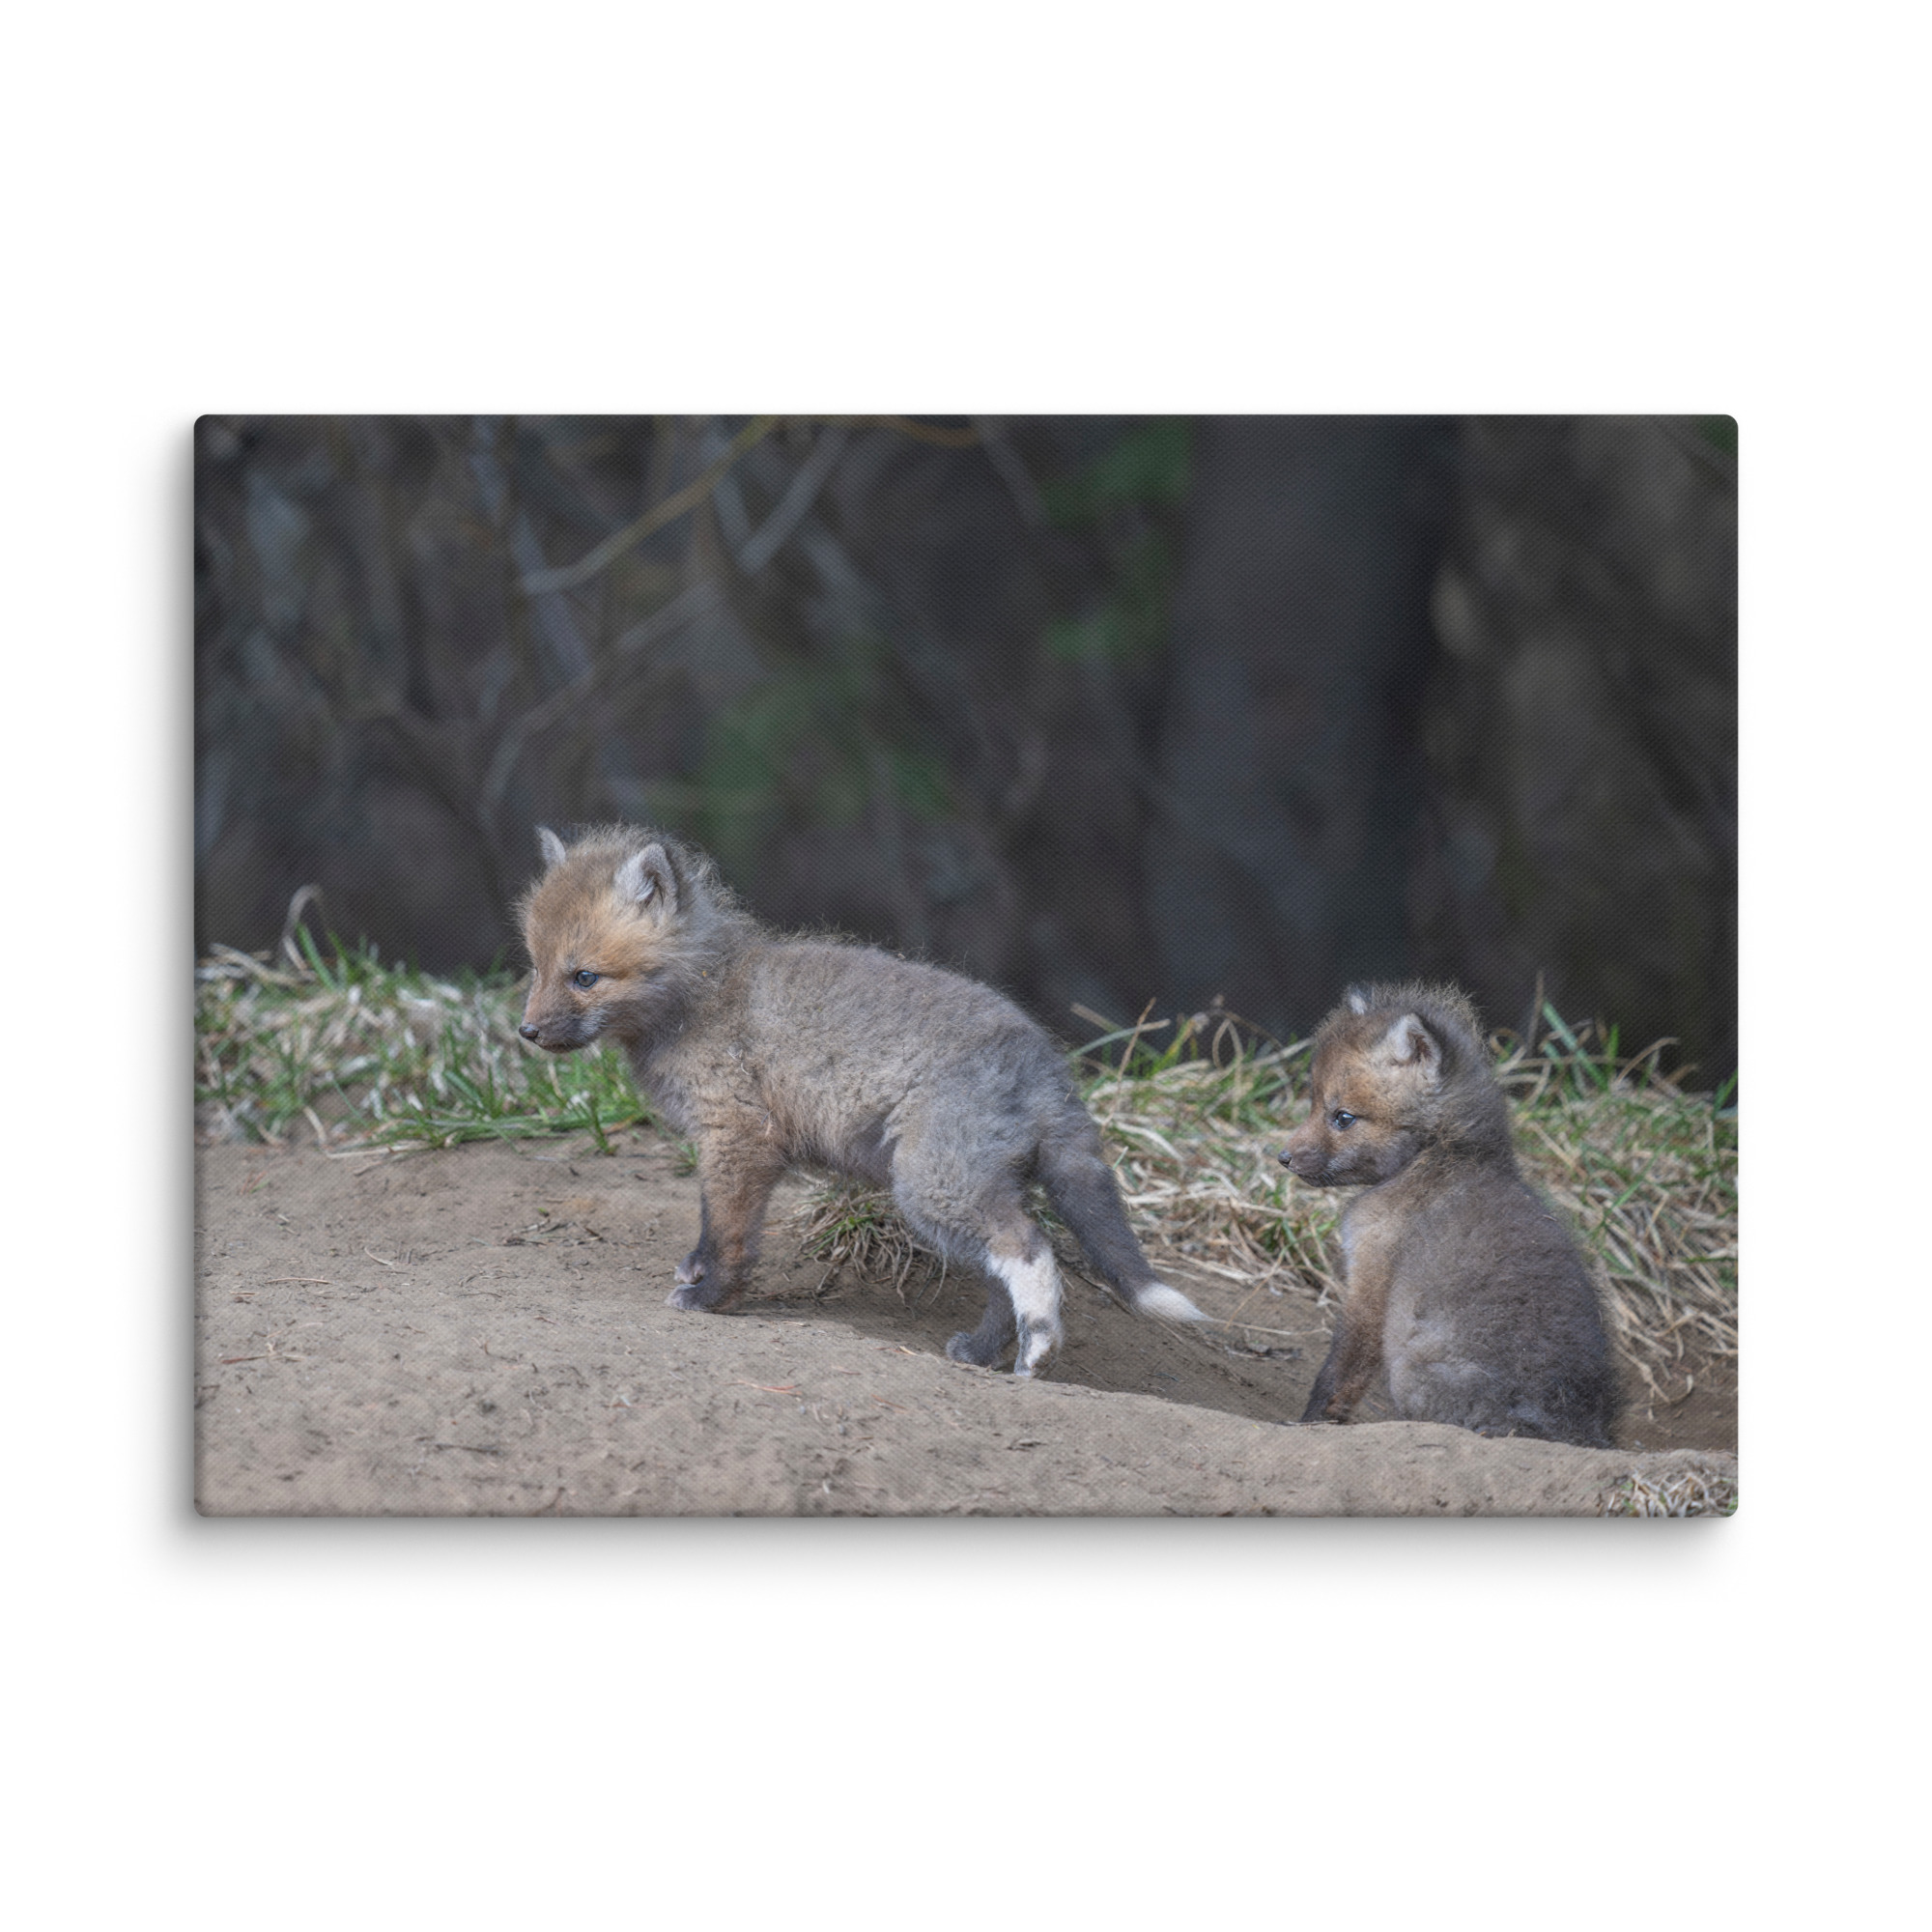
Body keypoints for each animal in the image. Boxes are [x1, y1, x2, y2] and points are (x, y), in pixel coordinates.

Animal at [516, 824, 1208, 1376]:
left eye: (585, 977)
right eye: (536, 968)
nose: (525, 1032)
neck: (702, 994)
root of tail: (1046, 1063)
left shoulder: (738, 1136)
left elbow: (729, 1233)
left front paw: (711, 1297)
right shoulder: (732, 1144)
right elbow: (712, 1224)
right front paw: (698, 1272)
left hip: (931, 1186)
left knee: (1030, 1249)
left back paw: (1038, 1351)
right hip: (962, 1193)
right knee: (1000, 1276)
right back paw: (984, 1353)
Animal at [1278, 981, 1616, 1447]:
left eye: (1343, 1117)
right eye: (1313, 1103)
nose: (1283, 1158)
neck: (1440, 1156)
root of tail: (1571, 1429)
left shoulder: (1371, 1280)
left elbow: (1339, 1373)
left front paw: (1309, 1424)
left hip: (1409, 1370)